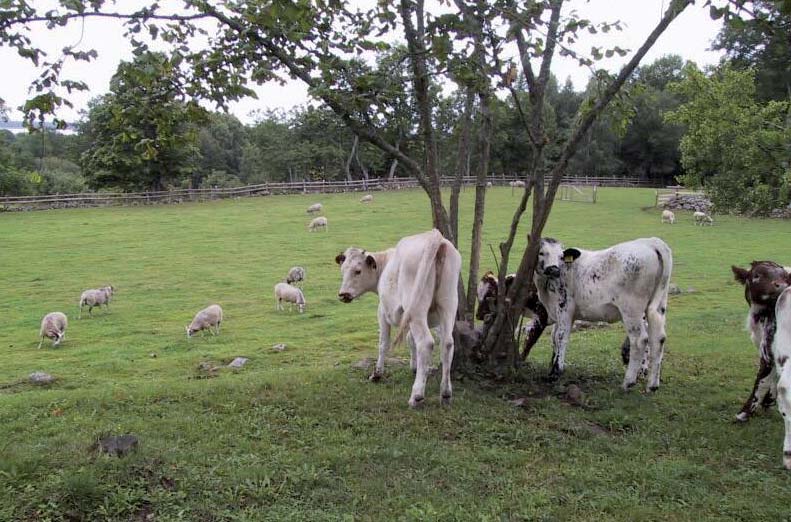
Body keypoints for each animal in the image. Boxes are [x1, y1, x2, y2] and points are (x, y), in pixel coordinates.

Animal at [336, 229, 460, 406]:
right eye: (342, 270)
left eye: (357, 271)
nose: (343, 294)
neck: (385, 264)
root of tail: (434, 237)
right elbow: (410, 340)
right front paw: (415, 367)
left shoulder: (382, 312)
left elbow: (383, 344)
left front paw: (377, 374)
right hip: (448, 304)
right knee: (447, 343)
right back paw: (445, 392)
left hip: (417, 310)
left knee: (426, 343)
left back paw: (417, 395)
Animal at [532, 236, 676, 390]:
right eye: (541, 253)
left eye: (560, 256)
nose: (554, 269)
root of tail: (651, 242)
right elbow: (554, 337)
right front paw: (552, 365)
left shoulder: (564, 308)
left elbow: (561, 337)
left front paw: (556, 371)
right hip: (659, 304)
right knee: (658, 338)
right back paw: (652, 385)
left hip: (631, 309)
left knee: (640, 340)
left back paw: (628, 382)